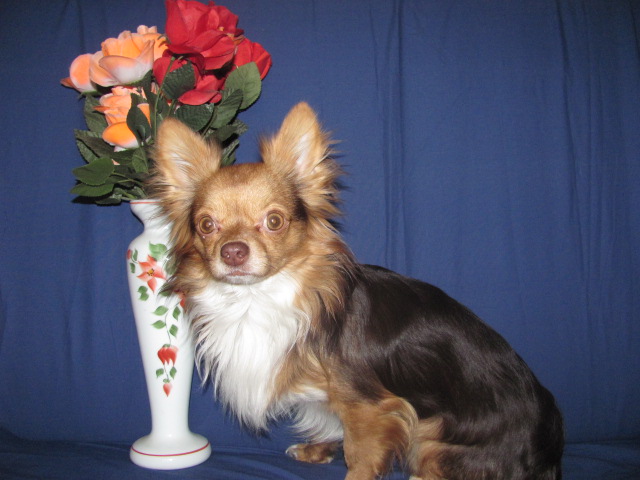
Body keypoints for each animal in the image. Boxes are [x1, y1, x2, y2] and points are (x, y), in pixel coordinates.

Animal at [149, 102, 564, 480]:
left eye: (274, 221)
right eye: (207, 226)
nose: (233, 251)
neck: (257, 299)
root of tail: (550, 454)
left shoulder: (370, 406)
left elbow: (360, 454)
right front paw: (318, 449)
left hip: (432, 436)